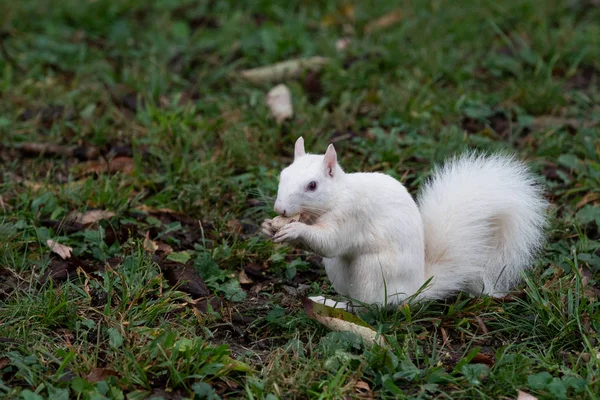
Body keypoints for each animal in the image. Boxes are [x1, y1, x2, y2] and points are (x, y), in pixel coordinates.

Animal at [262, 136, 548, 308]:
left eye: (312, 185)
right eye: (282, 175)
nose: (280, 208)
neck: (337, 196)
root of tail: (412, 290)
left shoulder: (353, 214)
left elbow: (331, 241)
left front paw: (294, 229)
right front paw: (268, 226)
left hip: (371, 271)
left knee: (368, 308)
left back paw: (337, 306)